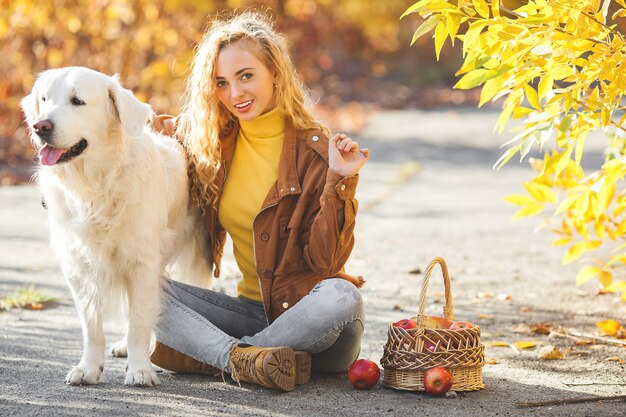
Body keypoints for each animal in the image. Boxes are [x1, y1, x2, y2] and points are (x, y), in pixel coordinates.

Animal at [20, 66, 211, 386]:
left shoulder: (142, 263)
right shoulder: (78, 268)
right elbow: (92, 327)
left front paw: (140, 369)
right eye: (44, 99)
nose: (40, 126)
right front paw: (88, 368)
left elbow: (139, 322)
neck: (95, 186)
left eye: (77, 101)